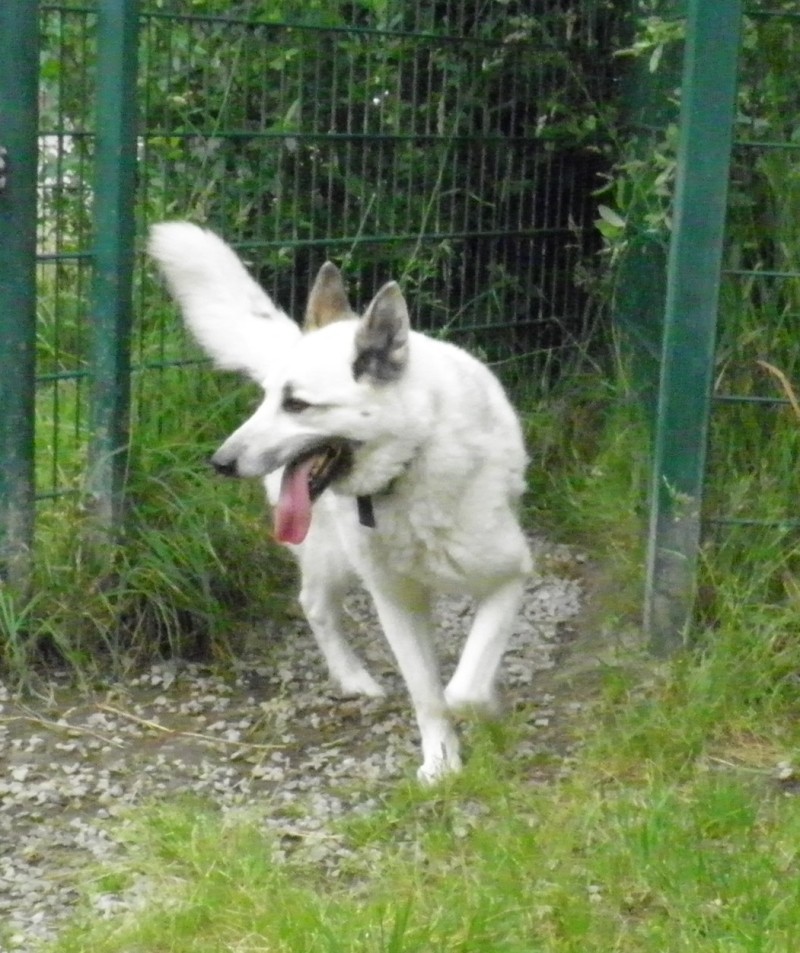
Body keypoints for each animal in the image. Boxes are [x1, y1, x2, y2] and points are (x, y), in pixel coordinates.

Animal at [148, 223, 532, 780]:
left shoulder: (508, 578)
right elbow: (429, 694)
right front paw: (441, 762)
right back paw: (353, 679)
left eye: (297, 405)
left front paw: (489, 717)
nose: (220, 462)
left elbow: (463, 689)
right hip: (332, 556)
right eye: (267, 399)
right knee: (314, 603)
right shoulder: (395, 602)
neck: (409, 464)